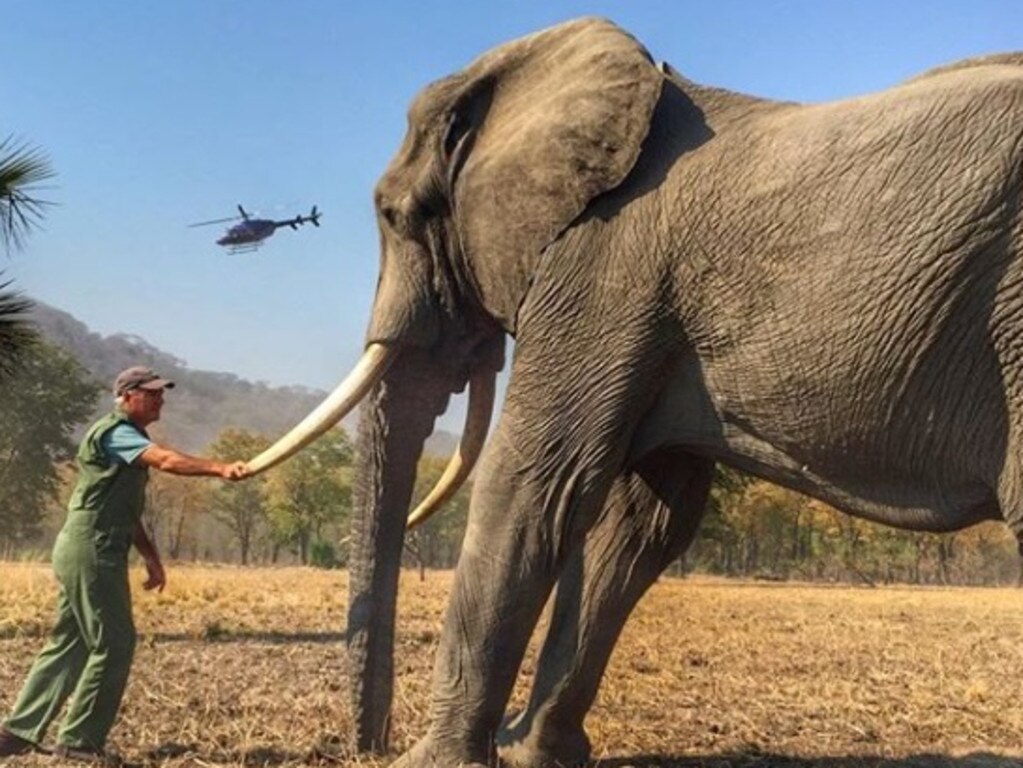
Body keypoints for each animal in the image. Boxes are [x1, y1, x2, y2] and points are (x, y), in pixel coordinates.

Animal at [243, 15, 1023, 768]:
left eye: (393, 215)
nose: (364, 746)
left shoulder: (601, 269)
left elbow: (533, 482)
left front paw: (434, 761)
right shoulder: (644, 312)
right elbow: (642, 521)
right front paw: (531, 754)